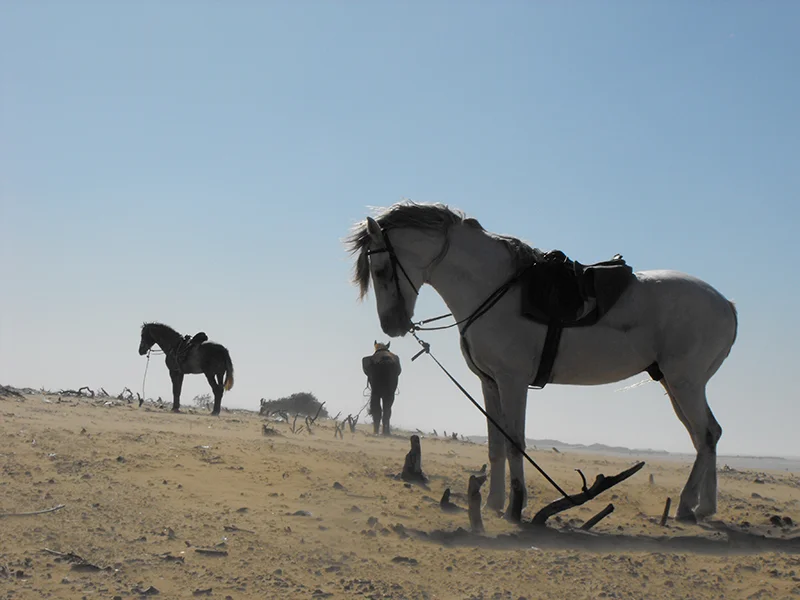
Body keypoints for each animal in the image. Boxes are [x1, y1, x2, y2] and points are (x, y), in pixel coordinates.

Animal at [346, 202, 738, 523]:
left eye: (380, 270)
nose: (392, 326)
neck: (493, 287)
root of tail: (727, 304)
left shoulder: (513, 381)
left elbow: (514, 440)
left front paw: (515, 506)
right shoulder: (489, 383)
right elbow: (496, 444)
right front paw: (493, 504)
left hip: (684, 382)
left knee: (705, 434)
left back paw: (686, 505)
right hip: (675, 384)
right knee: (708, 435)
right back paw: (705, 507)